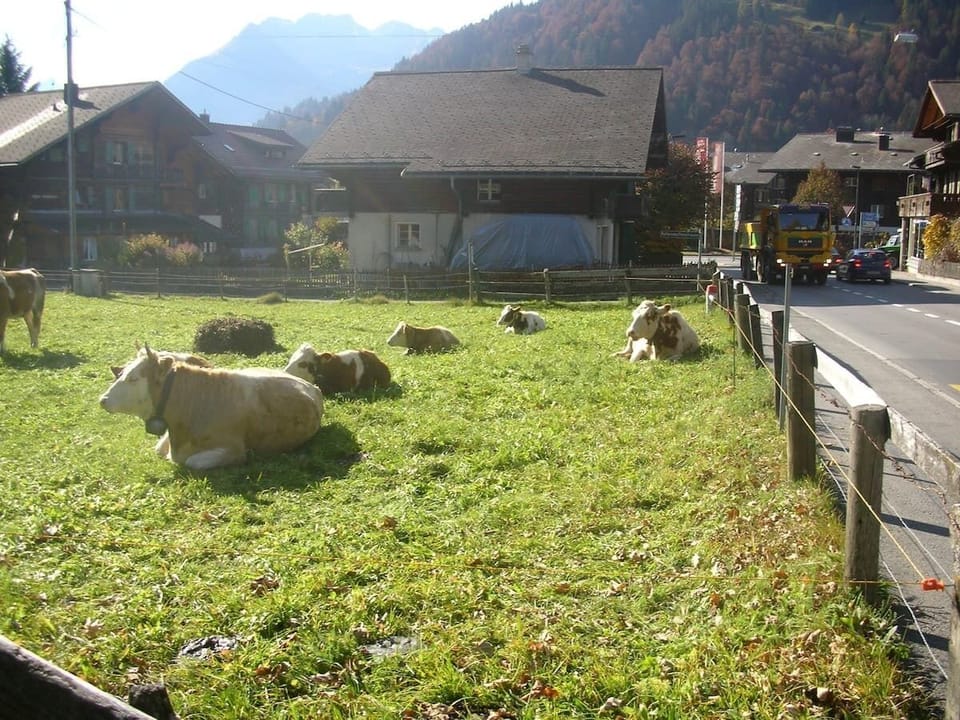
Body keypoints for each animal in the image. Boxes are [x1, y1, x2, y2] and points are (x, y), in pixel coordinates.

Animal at [100, 345, 324, 471]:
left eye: (133, 378)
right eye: (121, 373)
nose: (103, 399)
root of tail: (310, 385)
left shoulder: (233, 451)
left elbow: (193, 462)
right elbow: (159, 448)